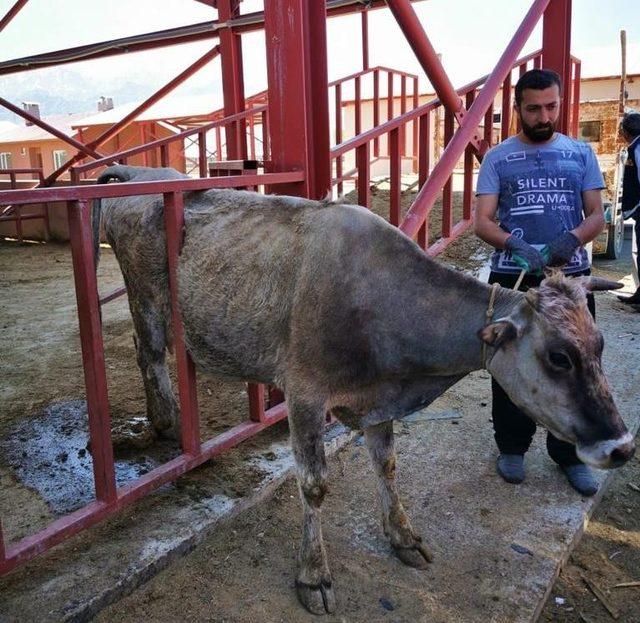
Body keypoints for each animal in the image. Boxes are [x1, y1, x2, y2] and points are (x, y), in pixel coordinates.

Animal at [94, 166, 636, 616]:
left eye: (600, 345)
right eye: (559, 357)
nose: (622, 446)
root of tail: (137, 173)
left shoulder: (378, 399)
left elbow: (388, 466)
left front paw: (402, 535)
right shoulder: (305, 394)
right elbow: (314, 485)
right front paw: (313, 575)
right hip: (144, 296)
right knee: (149, 351)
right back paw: (165, 424)